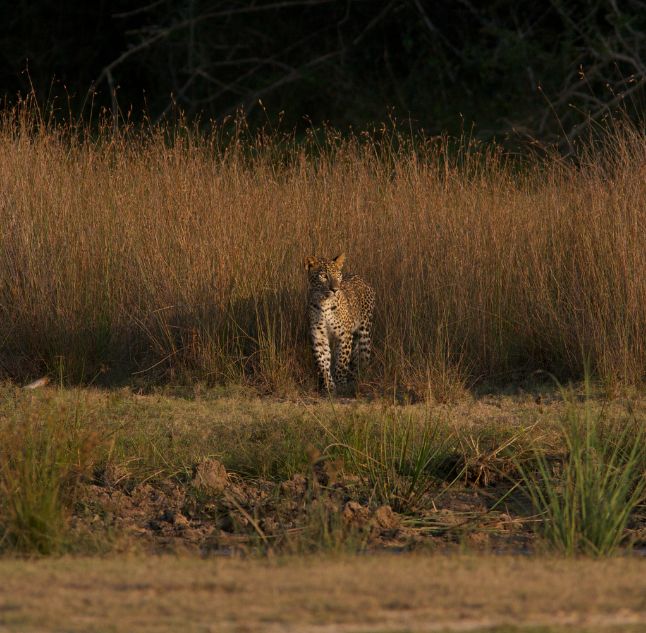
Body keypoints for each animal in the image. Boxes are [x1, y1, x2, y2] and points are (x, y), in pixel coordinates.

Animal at [304, 253, 375, 393]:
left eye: (337, 275)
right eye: (323, 276)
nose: (335, 289)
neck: (324, 303)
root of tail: (359, 277)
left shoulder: (344, 335)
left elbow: (342, 362)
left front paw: (341, 384)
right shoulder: (319, 337)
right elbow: (323, 363)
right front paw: (328, 387)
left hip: (365, 332)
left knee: (364, 356)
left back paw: (361, 378)